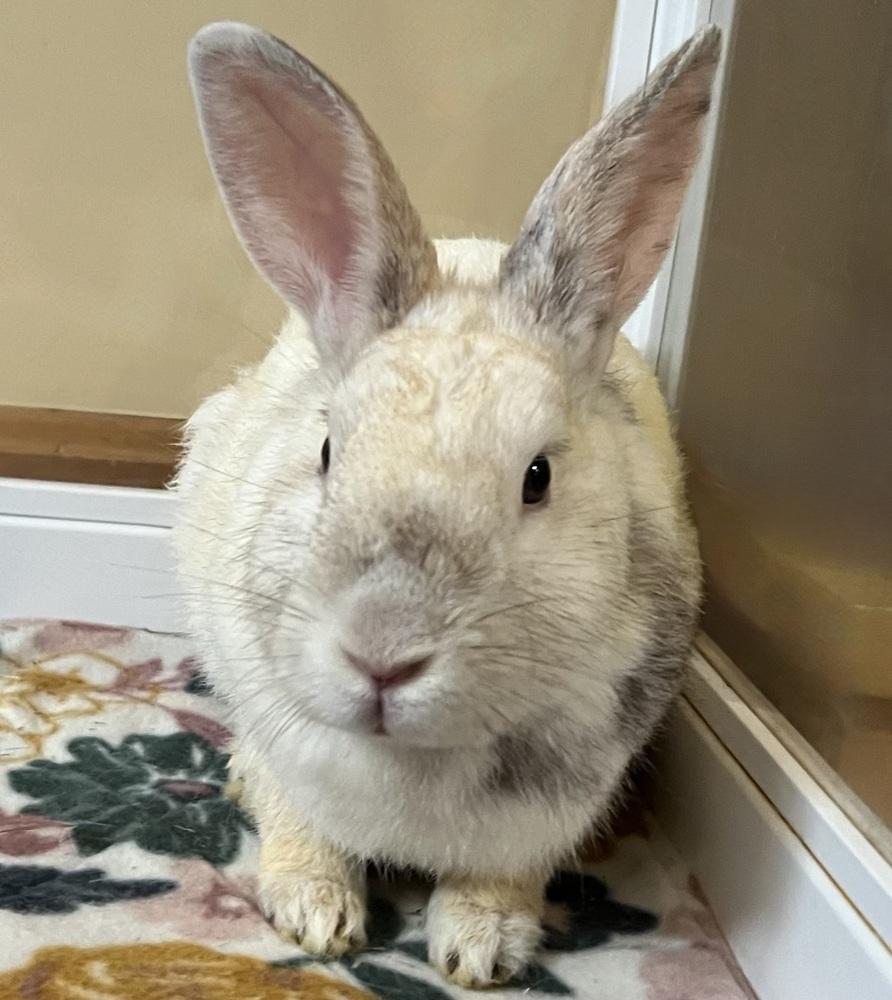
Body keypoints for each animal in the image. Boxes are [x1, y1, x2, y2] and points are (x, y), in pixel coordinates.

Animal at [175, 21, 719, 988]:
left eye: (538, 477)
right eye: (327, 451)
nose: (382, 658)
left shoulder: (550, 810)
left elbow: (501, 875)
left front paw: (480, 949)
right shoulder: (279, 734)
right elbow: (296, 820)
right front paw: (316, 914)